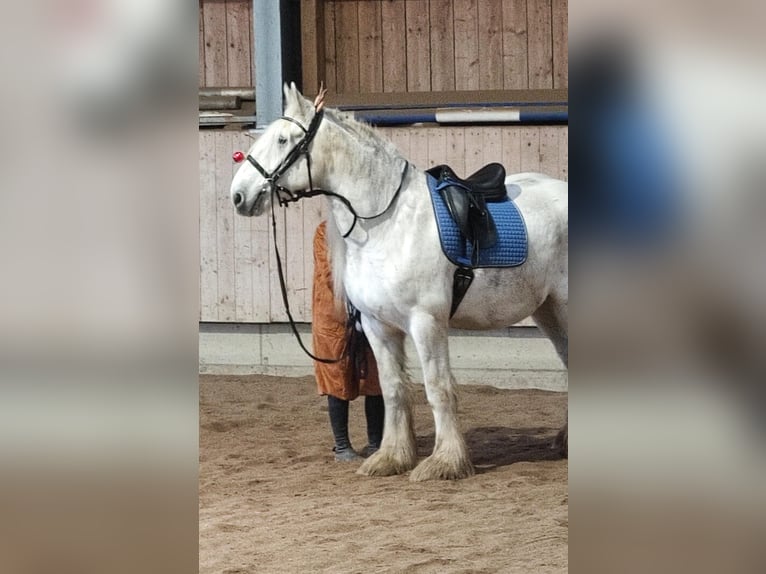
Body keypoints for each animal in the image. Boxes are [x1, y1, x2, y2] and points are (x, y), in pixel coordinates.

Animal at [230, 83, 568, 481]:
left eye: (283, 139)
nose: (238, 195)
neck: (387, 221)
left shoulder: (426, 322)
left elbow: (437, 388)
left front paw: (445, 462)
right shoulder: (378, 325)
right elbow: (393, 389)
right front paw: (391, 457)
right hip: (549, 311)